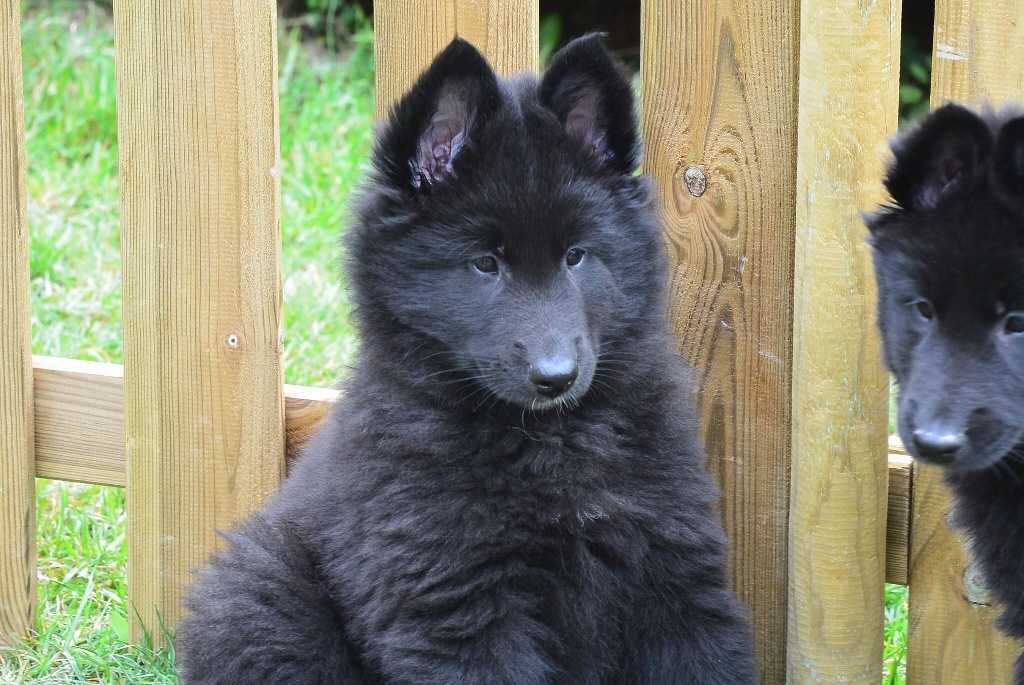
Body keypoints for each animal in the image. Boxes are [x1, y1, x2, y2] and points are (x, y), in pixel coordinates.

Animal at [174, 37, 753, 683]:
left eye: (576, 255)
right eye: (484, 263)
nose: (555, 376)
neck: (550, 442)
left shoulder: (673, 567)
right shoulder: (457, 597)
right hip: (264, 595)